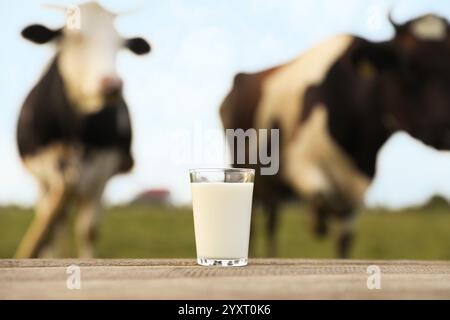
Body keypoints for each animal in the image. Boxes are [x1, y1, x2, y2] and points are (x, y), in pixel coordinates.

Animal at [15, 1, 151, 258]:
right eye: (74, 38)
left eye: (120, 44)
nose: (111, 85)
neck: (75, 132)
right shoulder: (46, 171)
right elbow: (50, 228)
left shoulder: (102, 173)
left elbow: (88, 230)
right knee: (53, 222)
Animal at [220, 13, 450, 258]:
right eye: (408, 68)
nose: (446, 132)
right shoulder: (299, 162)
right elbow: (320, 199)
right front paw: (317, 222)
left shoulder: (357, 189)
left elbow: (344, 239)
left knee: (272, 220)